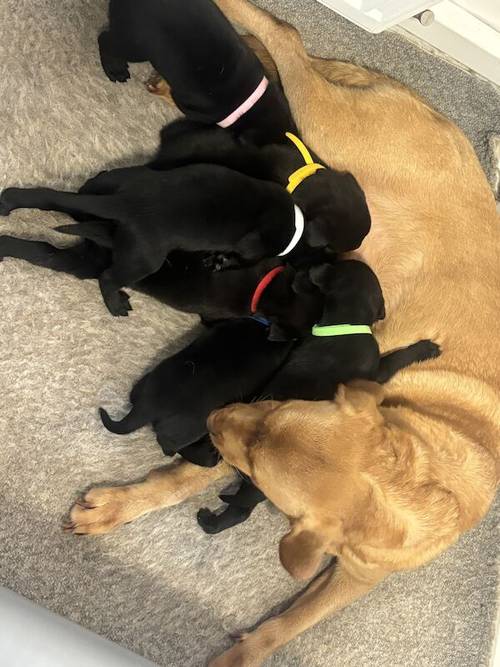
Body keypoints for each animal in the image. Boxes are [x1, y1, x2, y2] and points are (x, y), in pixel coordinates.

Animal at [0, 164, 298, 316]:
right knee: (107, 277)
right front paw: (221, 260)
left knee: (47, 204)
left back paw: (10, 203)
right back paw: (115, 304)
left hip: (100, 197)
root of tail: (126, 203)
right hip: (144, 260)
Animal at [199, 258, 442, 536]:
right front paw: (425, 348)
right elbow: (396, 358)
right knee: (240, 510)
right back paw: (209, 520)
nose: (302, 270)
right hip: (257, 488)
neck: (342, 322)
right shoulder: (376, 370)